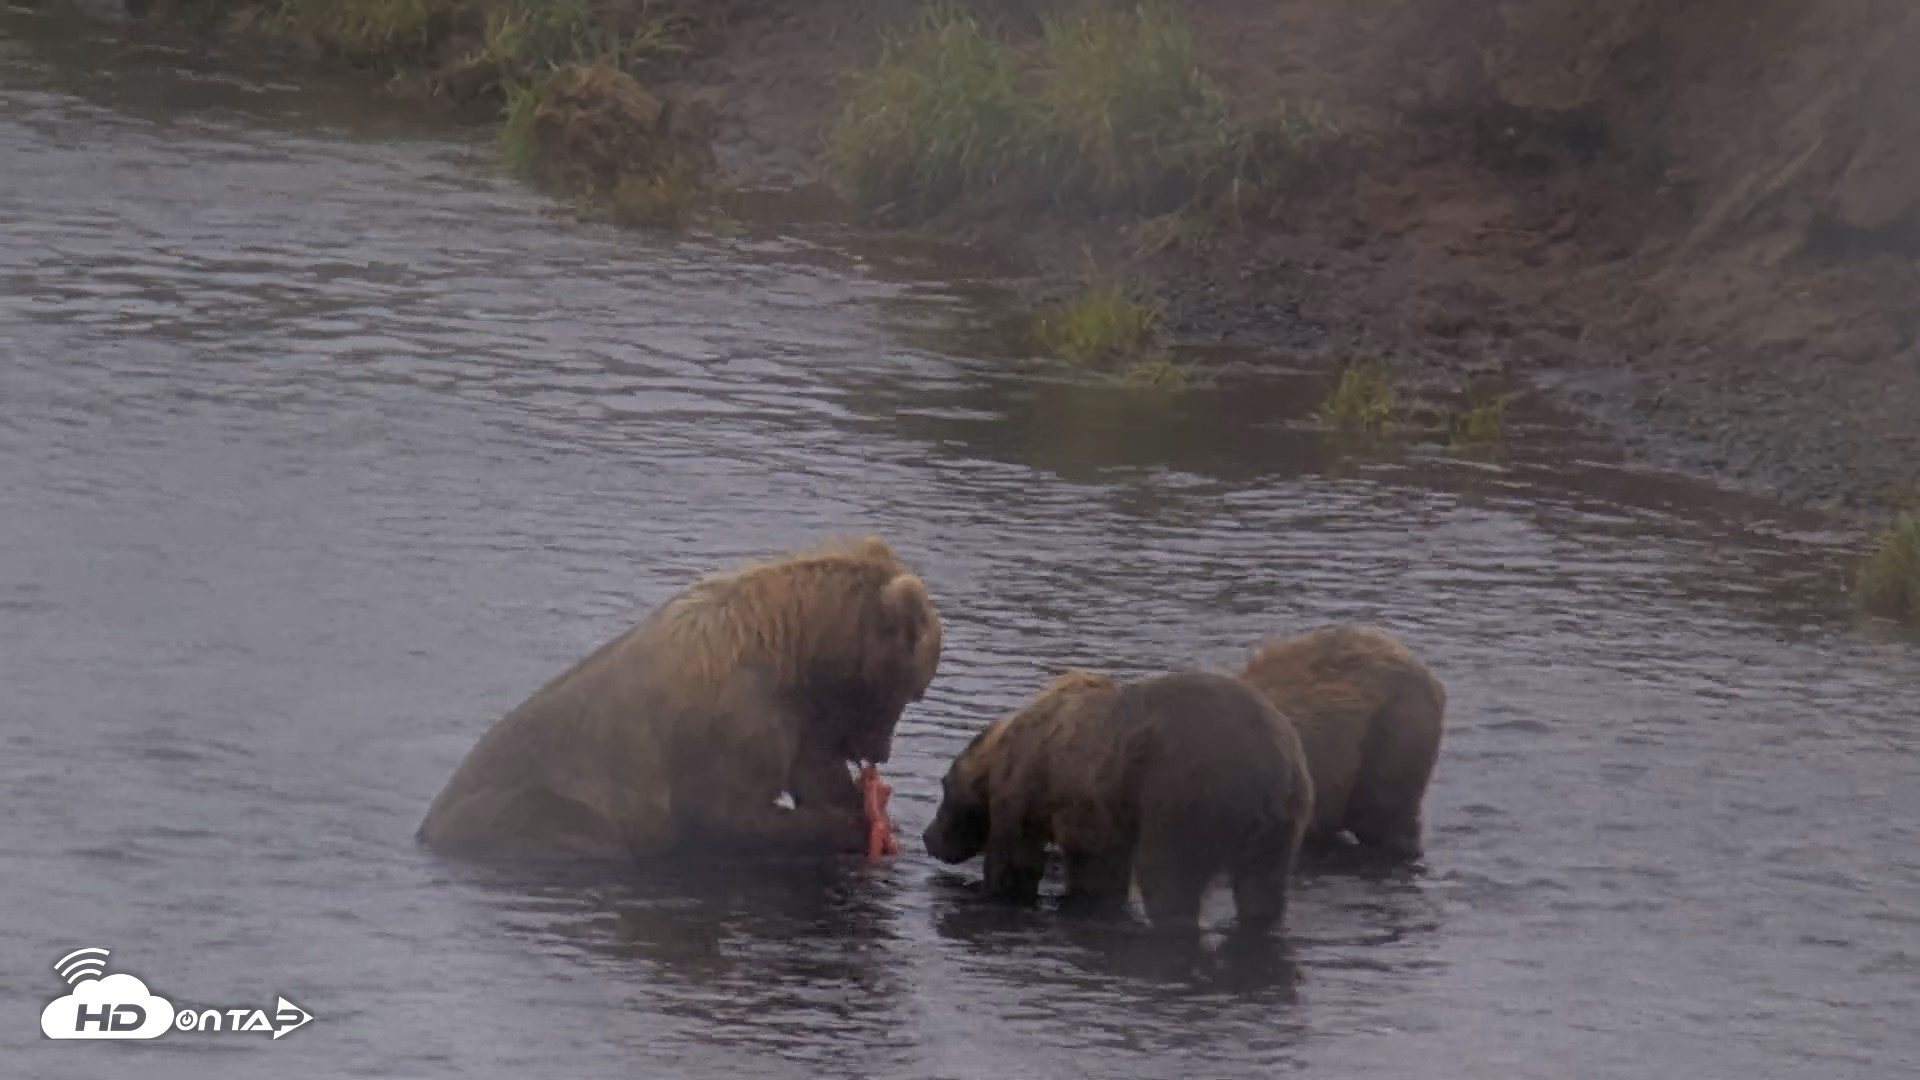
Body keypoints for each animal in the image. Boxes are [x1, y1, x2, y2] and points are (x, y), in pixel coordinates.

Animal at [417, 536, 943, 862]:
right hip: (537, 810)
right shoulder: (736, 721)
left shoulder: (800, 718)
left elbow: (815, 772)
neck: (800, 654)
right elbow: (726, 816)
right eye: (913, 690)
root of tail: (426, 831)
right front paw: (848, 827)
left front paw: (867, 810)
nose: (880, 751)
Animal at [922, 669, 1313, 933]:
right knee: (1262, 885)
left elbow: (1015, 857)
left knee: (1169, 875)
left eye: (944, 788)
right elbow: (1097, 871)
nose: (928, 837)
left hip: (1180, 796)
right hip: (1281, 825)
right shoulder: (1094, 809)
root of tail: (1269, 765)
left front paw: (995, 892)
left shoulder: (1029, 787)